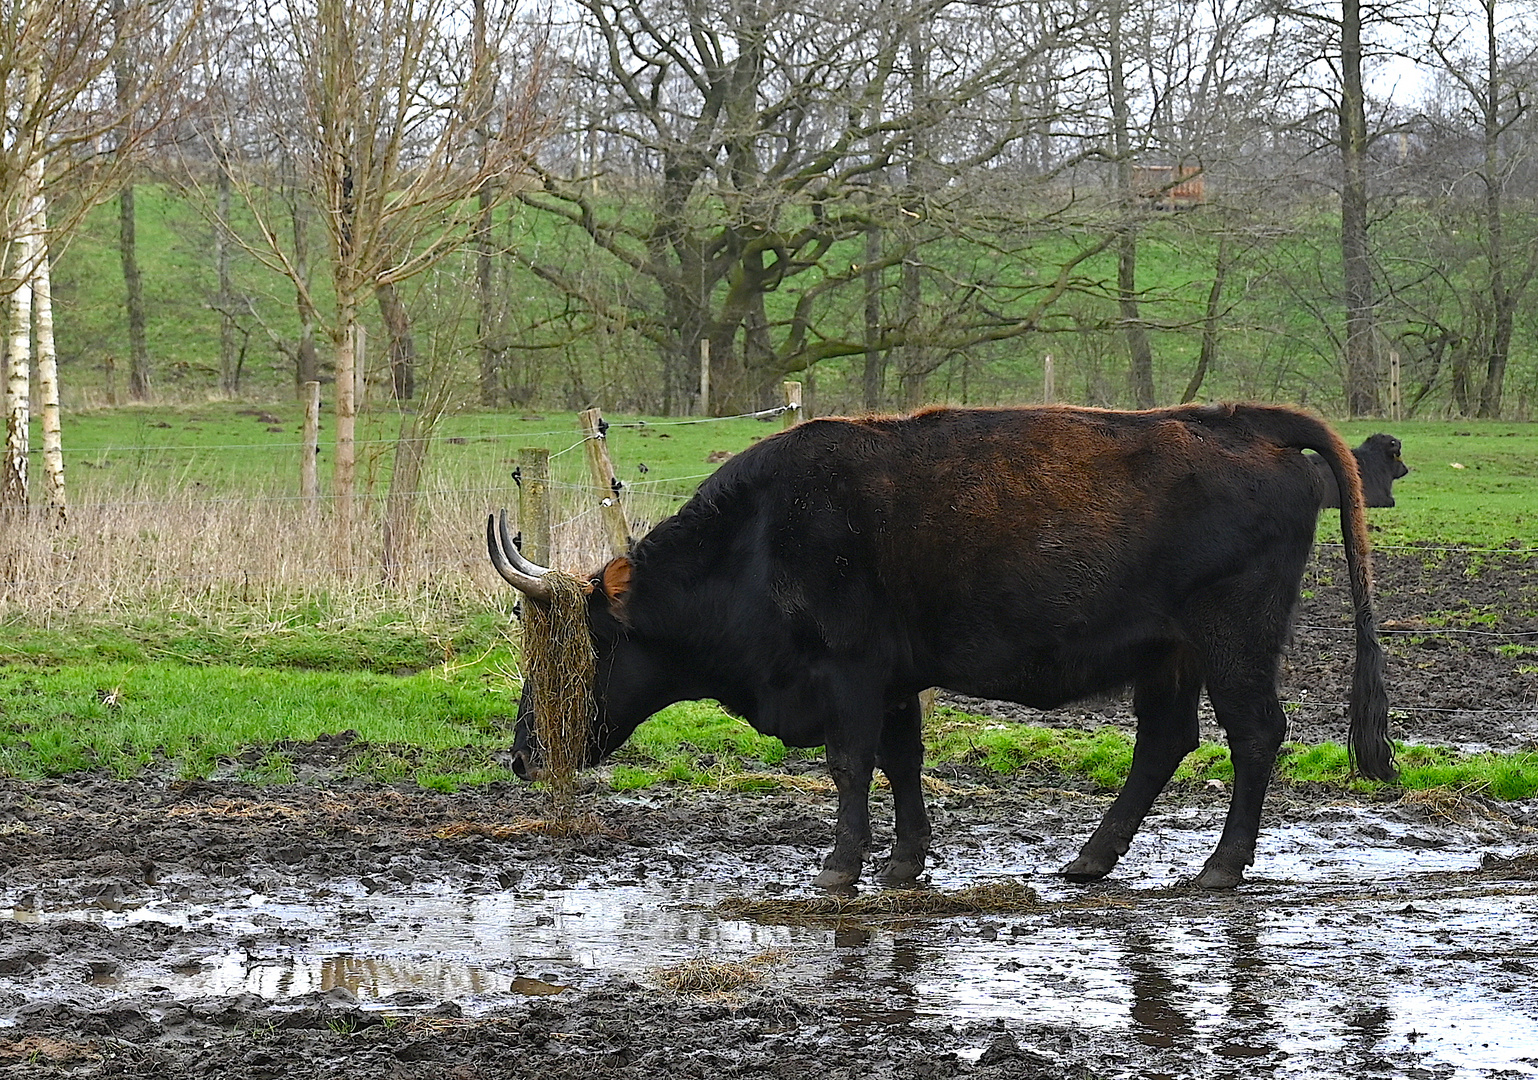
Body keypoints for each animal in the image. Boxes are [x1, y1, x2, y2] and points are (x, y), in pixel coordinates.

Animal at [489, 403, 1396, 892]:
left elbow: (850, 764)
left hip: (1232, 639)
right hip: (1166, 654)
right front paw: (905, 861)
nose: (524, 755)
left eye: (572, 654)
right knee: (1166, 740)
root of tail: (1238, 421)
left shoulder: (851, 672)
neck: (762, 538)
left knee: (1254, 733)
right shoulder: (895, 680)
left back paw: (1219, 867)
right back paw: (1090, 858)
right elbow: (902, 761)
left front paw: (841, 864)